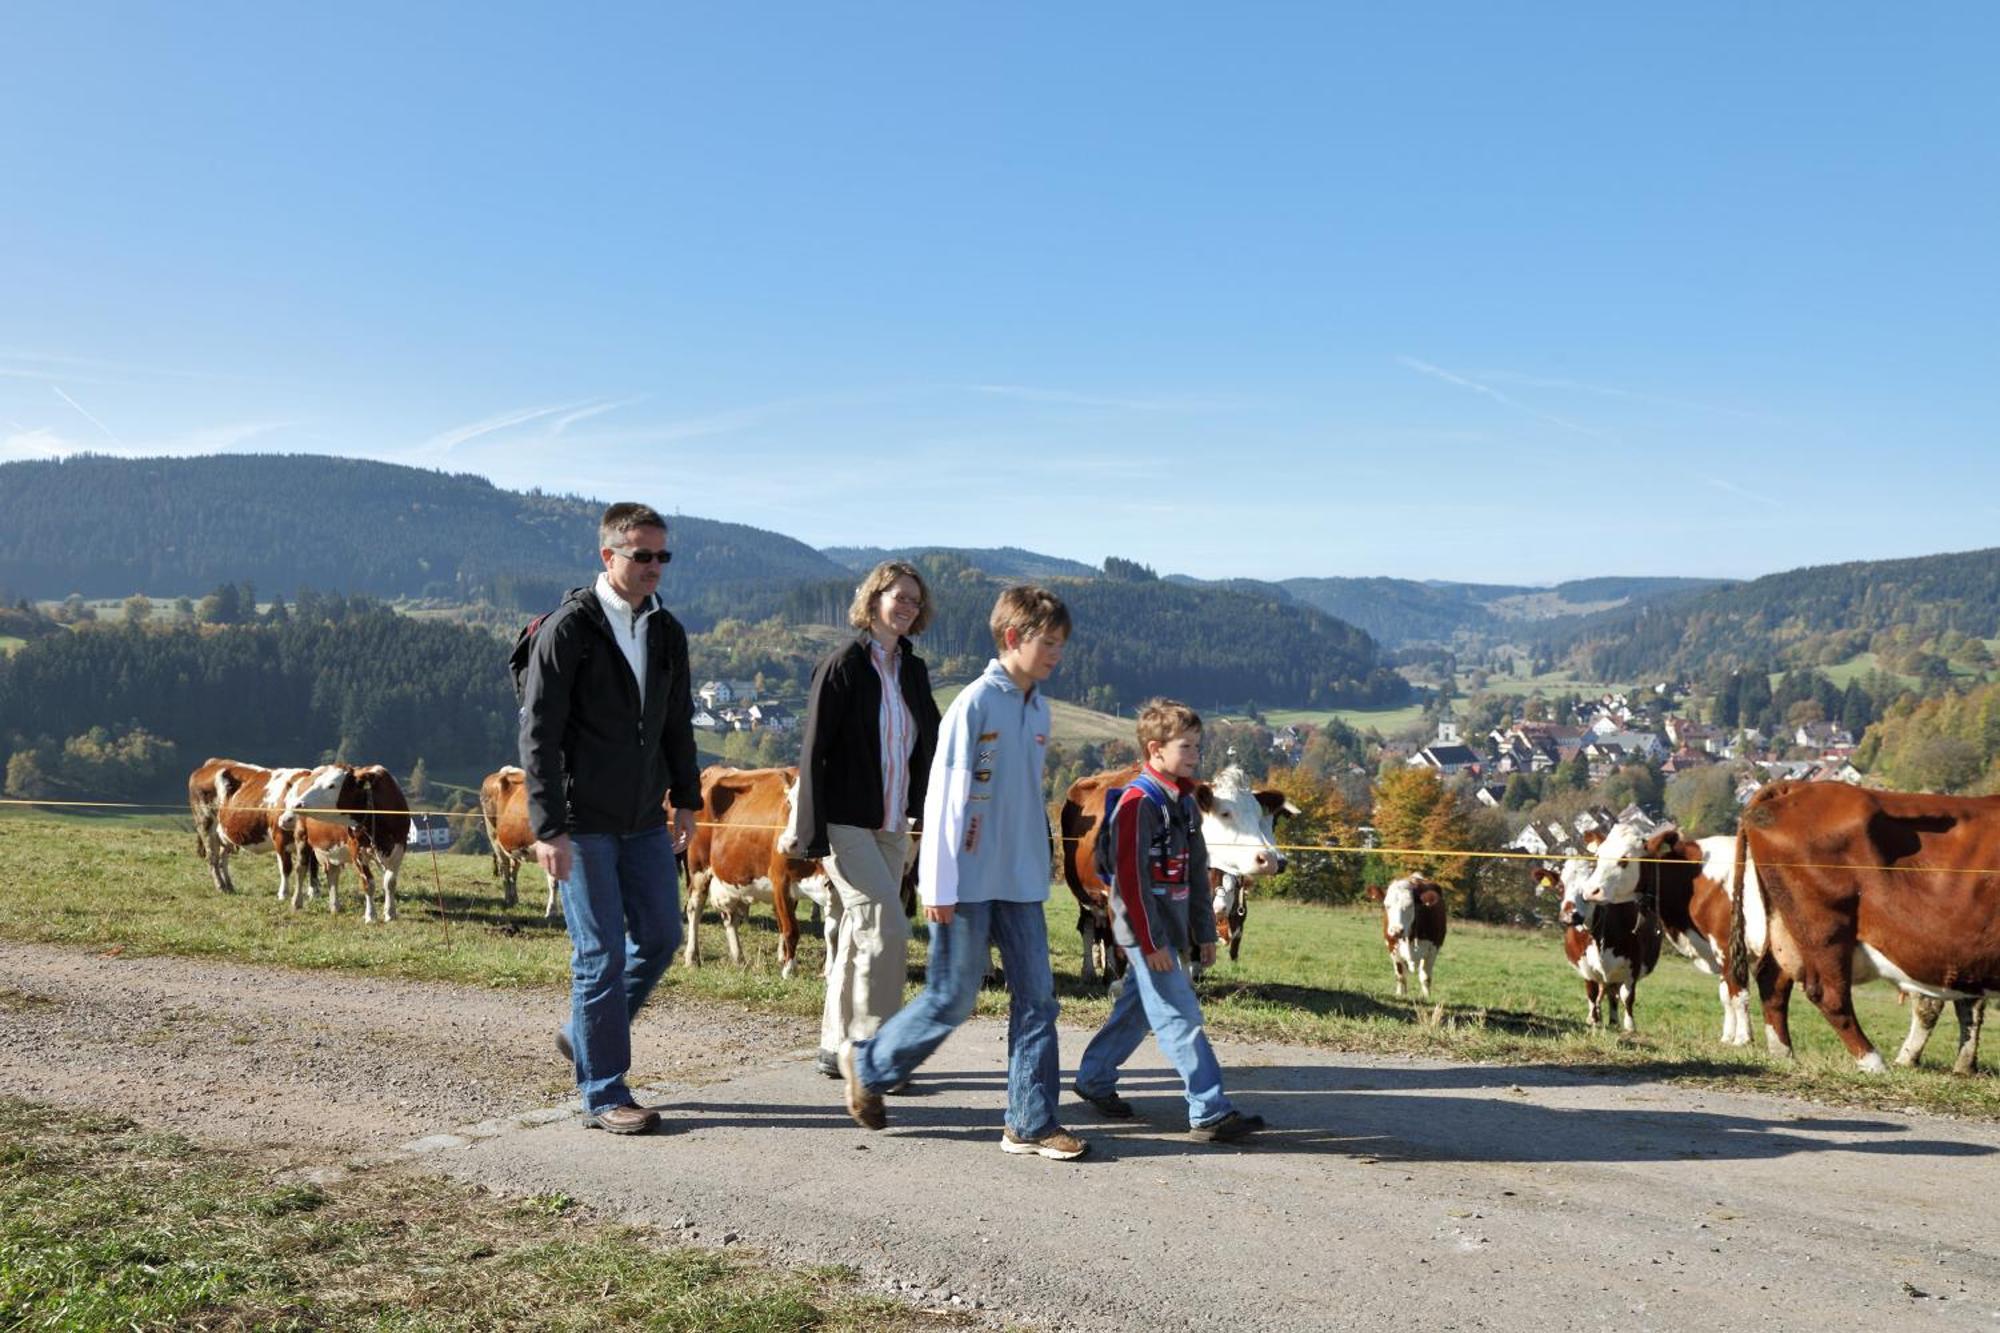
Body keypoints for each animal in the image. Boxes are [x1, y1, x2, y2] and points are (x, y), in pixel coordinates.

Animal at [476, 768, 556, 912]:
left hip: (515, 846)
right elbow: (554, 882)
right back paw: (508, 900)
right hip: (494, 837)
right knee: (505, 870)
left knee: (513, 872)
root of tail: (506, 771)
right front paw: (551, 910)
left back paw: (515, 899)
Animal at [1064, 756, 1296, 984]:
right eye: (1225, 813)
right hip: (1084, 893)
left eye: (1259, 815)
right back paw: (1090, 971)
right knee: (1089, 927)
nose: (1270, 859)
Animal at [1728, 780, 2000, 1072]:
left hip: (1785, 924)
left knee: (1772, 978)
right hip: (1826, 930)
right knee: (1828, 994)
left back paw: (1784, 1054)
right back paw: (1873, 1062)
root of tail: (1797, 786)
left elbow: (1968, 1008)